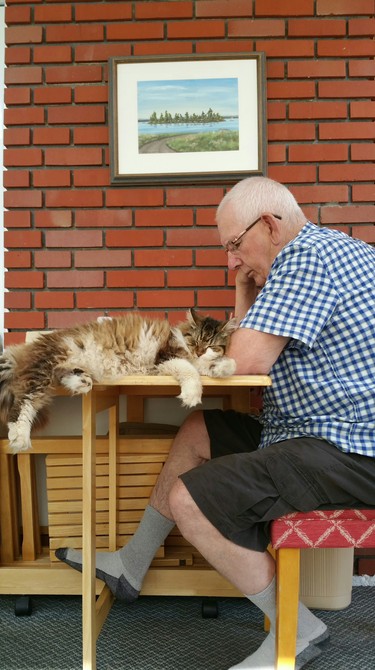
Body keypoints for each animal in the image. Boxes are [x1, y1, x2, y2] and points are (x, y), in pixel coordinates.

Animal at [0, 312, 236, 454]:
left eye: (211, 345)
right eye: (195, 341)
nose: (199, 351)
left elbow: (217, 365)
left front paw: (223, 367)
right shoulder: (164, 358)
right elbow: (189, 371)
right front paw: (192, 394)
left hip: (60, 365)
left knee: (62, 376)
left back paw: (80, 381)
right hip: (46, 366)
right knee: (24, 403)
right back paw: (19, 437)